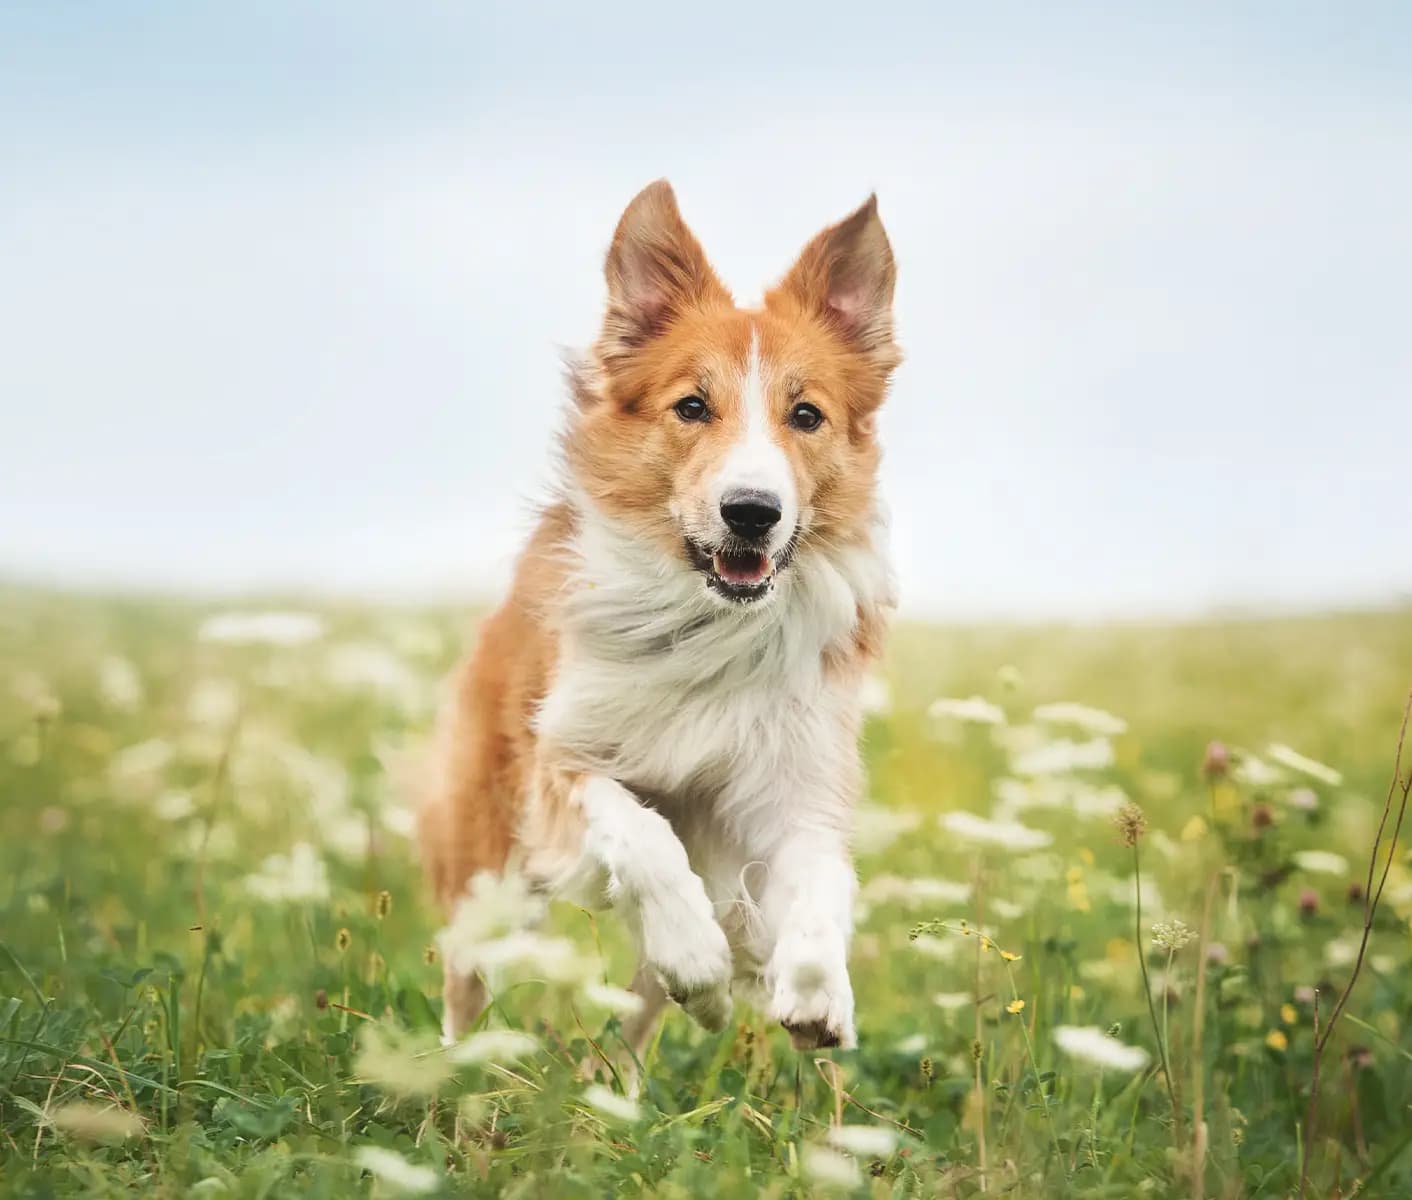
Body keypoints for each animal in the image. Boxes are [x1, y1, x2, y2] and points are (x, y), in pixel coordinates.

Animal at [417, 180, 898, 1056]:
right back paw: (462, 1069)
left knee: (632, 1031)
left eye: (807, 415)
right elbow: (643, 834)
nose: (752, 513)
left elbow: (821, 880)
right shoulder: (561, 763)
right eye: (692, 406)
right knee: (467, 982)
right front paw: (698, 953)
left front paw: (817, 994)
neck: (711, 624)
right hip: (489, 864)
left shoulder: (793, 784)